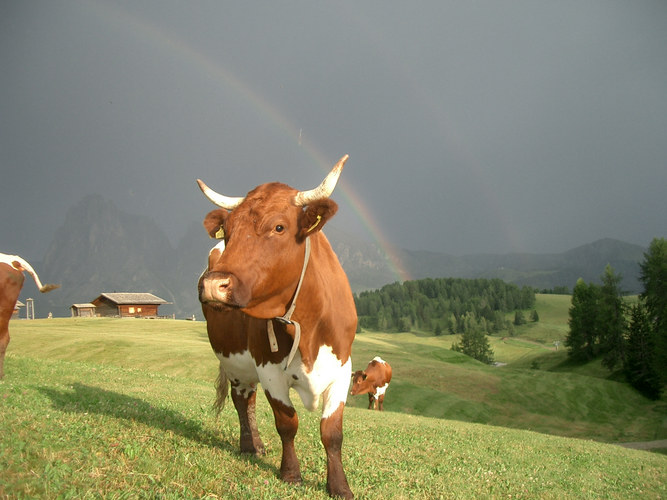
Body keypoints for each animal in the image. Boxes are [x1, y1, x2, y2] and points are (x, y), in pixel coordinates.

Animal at [196, 154, 358, 498]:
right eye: (228, 231)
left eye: (279, 227)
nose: (215, 285)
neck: (309, 326)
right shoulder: (268, 367)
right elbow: (287, 423)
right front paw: (291, 474)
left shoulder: (342, 368)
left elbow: (332, 431)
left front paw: (339, 486)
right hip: (236, 363)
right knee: (243, 400)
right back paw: (250, 446)